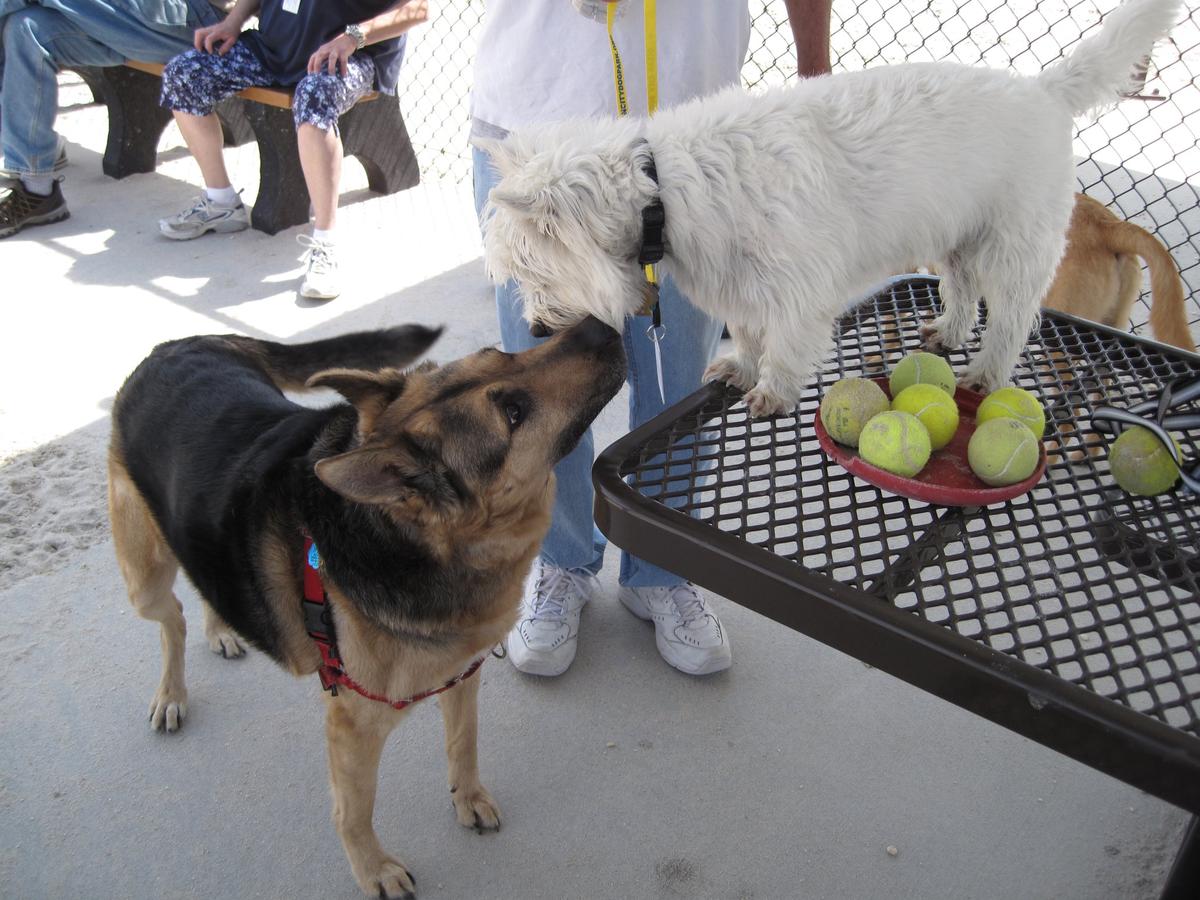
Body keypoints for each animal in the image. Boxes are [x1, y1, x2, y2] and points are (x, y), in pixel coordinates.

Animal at [110, 316, 628, 897]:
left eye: (500, 353)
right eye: (513, 413)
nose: (602, 324)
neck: (413, 544)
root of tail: (177, 345)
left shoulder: (462, 676)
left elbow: (463, 743)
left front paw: (467, 799)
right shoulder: (352, 729)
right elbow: (354, 813)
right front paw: (373, 869)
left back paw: (223, 628)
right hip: (144, 581)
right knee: (171, 618)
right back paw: (171, 694)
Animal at [484, 0, 1180, 420]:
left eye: (535, 272)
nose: (538, 329)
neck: (661, 189)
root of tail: (1044, 91)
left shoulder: (796, 283)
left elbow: (788, 340)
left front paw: (772, 390)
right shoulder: (741, 282)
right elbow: (750, 334)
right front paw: (741, 369)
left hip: (1016, 241)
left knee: (1010, 315)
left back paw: (984, 373)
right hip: (959, 232)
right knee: (962, 288)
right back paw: (948, 332)